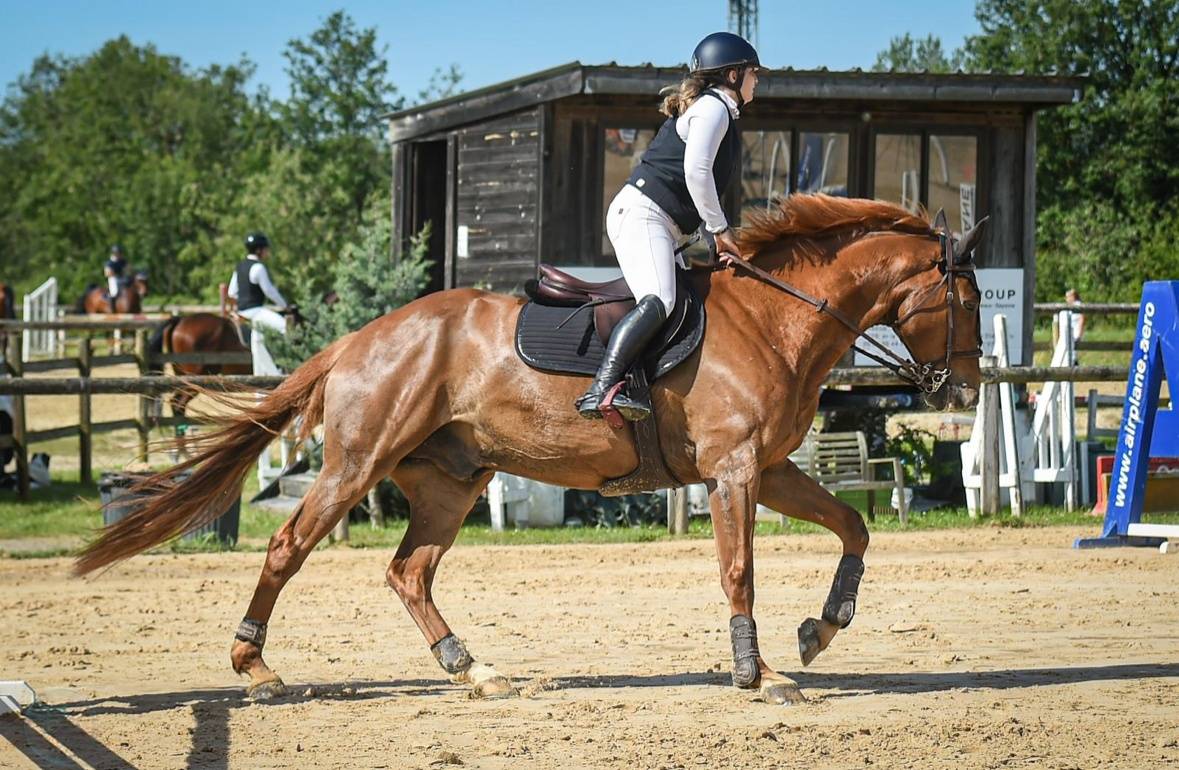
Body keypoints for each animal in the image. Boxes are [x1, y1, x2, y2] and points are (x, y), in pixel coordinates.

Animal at [75, 195, 985, 706]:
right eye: (966, 299)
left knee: (409, 572)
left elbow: (853, 527)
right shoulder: (731, 472)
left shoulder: (765, 469)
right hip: (357, 464)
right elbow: (738, 570)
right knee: (288, 547)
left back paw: (471, 669)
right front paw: (756, 675)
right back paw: (256, 668)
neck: (775, 317)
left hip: (450, 481)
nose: (964, 390)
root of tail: (359, 338)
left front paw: (816, 634)